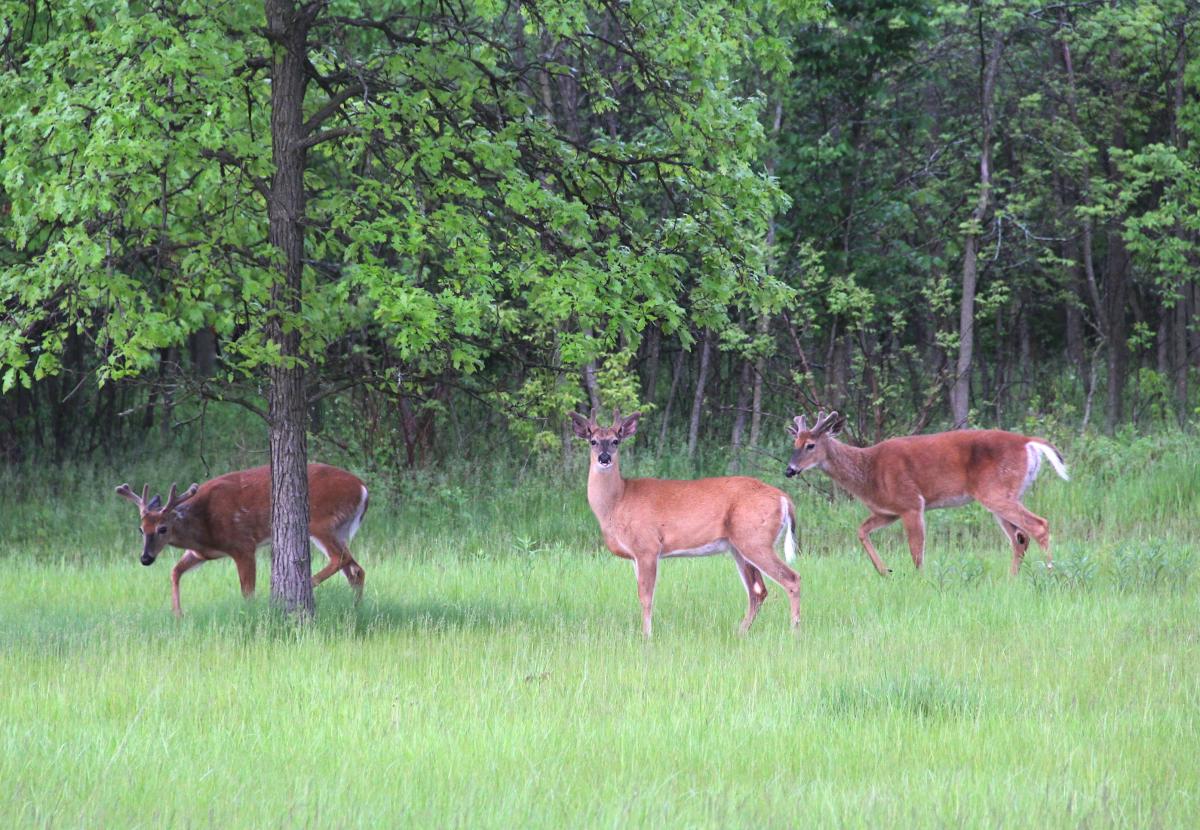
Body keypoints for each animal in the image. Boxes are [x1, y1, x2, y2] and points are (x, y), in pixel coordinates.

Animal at [118, 462, 369, 611]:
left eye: (163, 528)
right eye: (141, 529)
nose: (145, 558)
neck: (203, 527)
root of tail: (363, 489)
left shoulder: (243, 544)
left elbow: (247, 591)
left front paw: (250, 612)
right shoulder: (200, 553)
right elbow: (175, 572)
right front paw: (177, 615)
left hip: (320, 521)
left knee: (341, 558)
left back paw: (308, 582)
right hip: (338, 529)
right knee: (356, 569)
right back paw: (356, 608)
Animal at [568, 407, 801, 633]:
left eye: (616, 440)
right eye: (593, 441)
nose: (604, 458)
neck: (617, 502)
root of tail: (785, 499)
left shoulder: (648, 546)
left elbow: (646, 597)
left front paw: (647, 636)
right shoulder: (635, 555)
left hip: (755, 540)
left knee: (791, 579)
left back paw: (794, 632)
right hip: (739, 546)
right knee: (758, 590)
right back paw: (741, 632)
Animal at [787, 410, 1070, 578]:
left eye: (811, 445)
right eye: (794, 443)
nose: (789, 470)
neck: (869, 472)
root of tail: (1028, 442)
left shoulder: (911, 502)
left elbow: (916, 550)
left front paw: (919, 580)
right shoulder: (888, 511)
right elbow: (861, 530)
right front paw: (884, 571)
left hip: (996, 491)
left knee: (1038, 526)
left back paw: (1050, 573)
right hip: (1004, 494)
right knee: (1020, 538)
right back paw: (1011, 579)